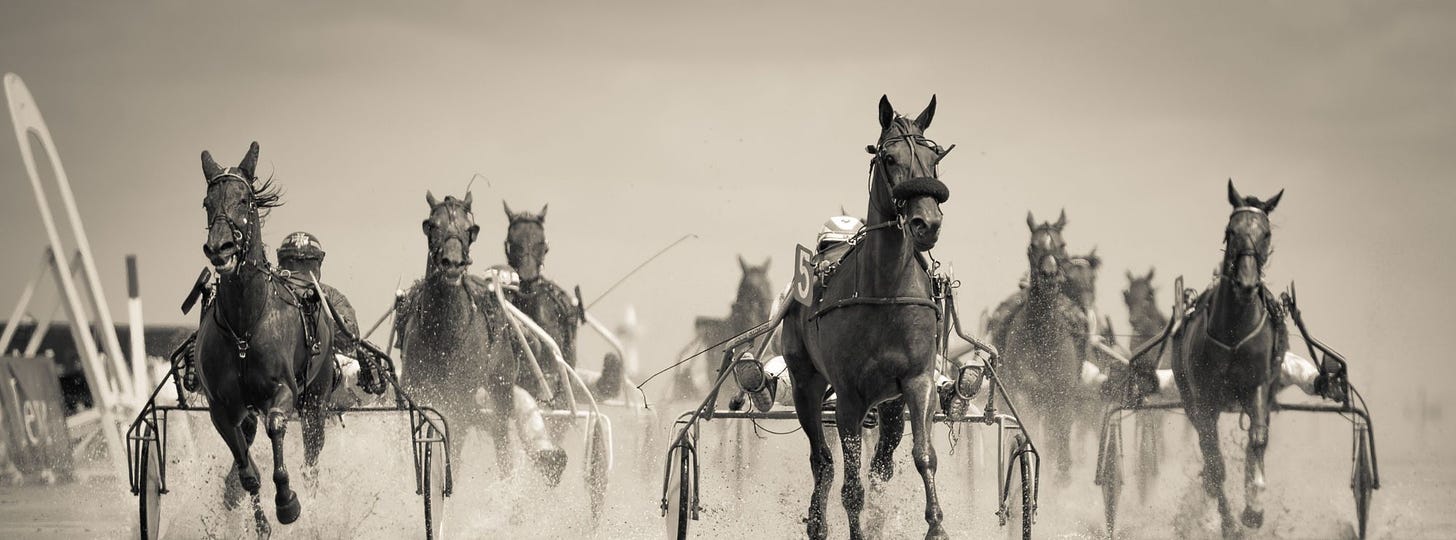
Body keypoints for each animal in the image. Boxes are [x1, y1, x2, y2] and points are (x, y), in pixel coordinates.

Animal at [193, 141, 334, 529]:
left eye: (246, 201)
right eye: (207, 202)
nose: (220, 248)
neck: (244, 327)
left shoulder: (284, 391)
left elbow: (276, 426)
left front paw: (287, 501)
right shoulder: (222, 409)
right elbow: (247, 472)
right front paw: (260, 521)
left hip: (316, 400)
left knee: (312, 457)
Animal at [398, 192, 567, 486]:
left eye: (470, 229)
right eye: (432, 225)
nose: (453, 263)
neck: (444, 334)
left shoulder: (459, 402)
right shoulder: (417, 390)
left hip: (500, 391)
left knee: (502, 441)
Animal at [786, 97, 955, 540]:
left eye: (933, 159)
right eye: (890, 158)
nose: (927, 223)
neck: (886, 290)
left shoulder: (917, 381)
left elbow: (923, 456)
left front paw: (936, 525)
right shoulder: (848, 398)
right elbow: (850, 486)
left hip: (890, 405)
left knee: (881, 464)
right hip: (805, 384)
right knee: (823, 461)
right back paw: (818, 522)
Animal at [995, 209, 1089, 483]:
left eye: (1062, 245)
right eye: (1032, 246)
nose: (1048, 275)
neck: (1043, 340)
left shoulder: (1062, 396)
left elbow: (1062, 448)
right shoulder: (1023, 394)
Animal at [1170, 180, 1287, 538]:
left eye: (1266, 233)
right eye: (1230, 231)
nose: (1247, 282)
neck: (1235, 332)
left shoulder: (1258, 386)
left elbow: (1258, 440)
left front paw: (1254, 509)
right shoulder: (1204, 398)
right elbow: (1215, 461)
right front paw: (1230, 524)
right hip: (1189, 397)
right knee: (1207, 450)